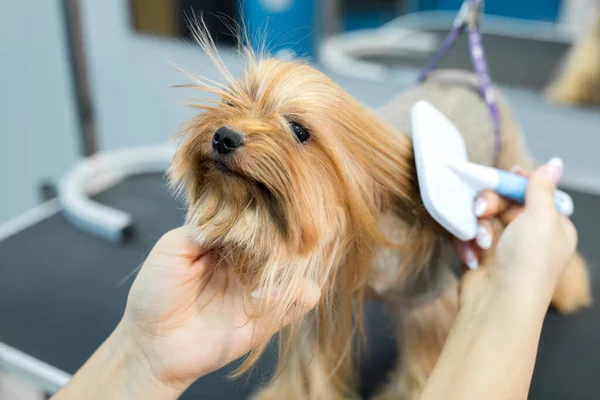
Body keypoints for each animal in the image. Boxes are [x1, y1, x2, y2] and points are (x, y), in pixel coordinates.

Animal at [169, 24, 592, 400]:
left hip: (511, 157)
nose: (224, 136)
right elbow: (311, 369)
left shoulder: (424, 298)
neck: (350, 230)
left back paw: (568, 288)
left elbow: (422, 362)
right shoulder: (316, 301)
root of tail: (468, 76)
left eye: (298, 130)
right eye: (230, 102)